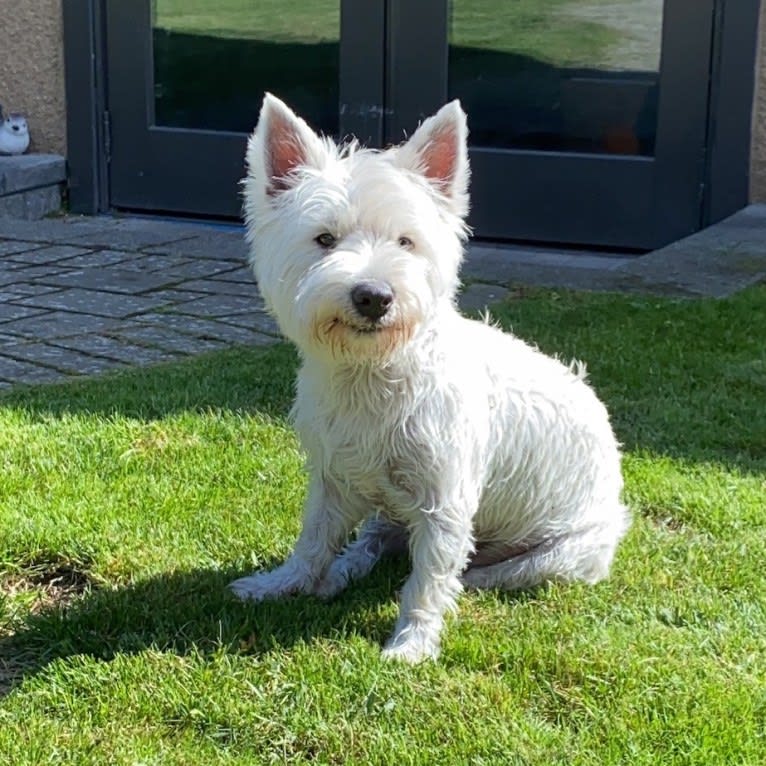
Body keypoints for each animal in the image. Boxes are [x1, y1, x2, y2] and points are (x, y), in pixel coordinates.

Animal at [234, 93, 632, 664]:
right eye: (324, 239)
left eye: (406, 241)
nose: (373, 296)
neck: (373, 373)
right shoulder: (334, 477)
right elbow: (314, 538)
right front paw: (284, 583)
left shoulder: (445, 499)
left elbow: (428, 578)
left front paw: (412, 643)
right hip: (386, 511)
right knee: (371, 541)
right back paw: (339, 574)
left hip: (564, 551)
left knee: (496, 570)